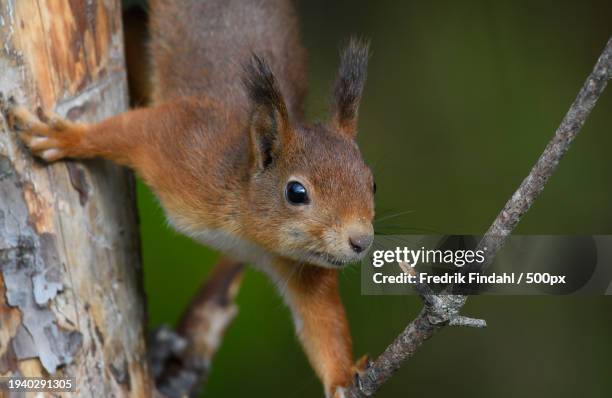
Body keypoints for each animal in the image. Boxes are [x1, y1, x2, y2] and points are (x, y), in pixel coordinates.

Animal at [2, 1, 376, 396]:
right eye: (296, 192)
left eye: (373, 184)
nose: (361, 241)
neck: (247, 233)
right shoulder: (183, 141)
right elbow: (130, 129)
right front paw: (65, 138)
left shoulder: (301, 266)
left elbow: (321, 321)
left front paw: (344, 378)